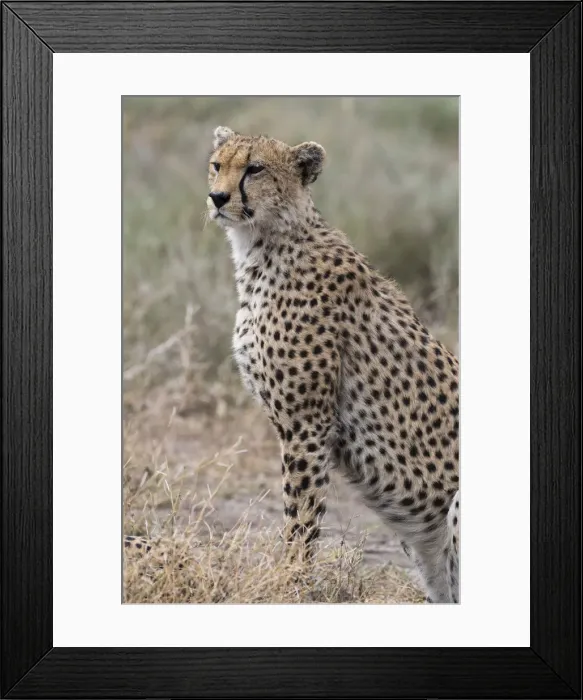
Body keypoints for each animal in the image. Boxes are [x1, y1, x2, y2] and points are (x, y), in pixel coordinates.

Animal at [204, 126, 460, 604]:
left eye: (255, 168)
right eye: (217, 165)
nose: (217, 197)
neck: (265, 243)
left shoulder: (308, 424)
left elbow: (301, 515)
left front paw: (290, 581)